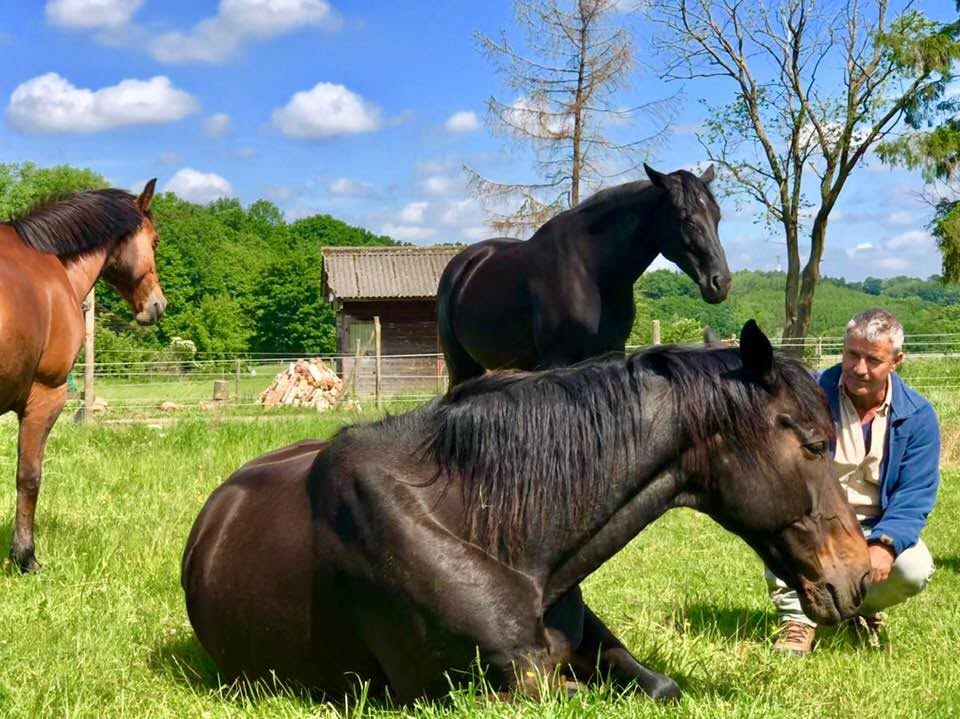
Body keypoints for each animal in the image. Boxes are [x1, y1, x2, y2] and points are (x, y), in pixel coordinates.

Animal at [437, 164, 731, 387]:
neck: (591, 272)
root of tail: (464, 265)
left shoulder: (612, 353)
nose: (721, 282)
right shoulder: (557, 361)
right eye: (687, 218)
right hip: (460, 366)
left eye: (717, 216)